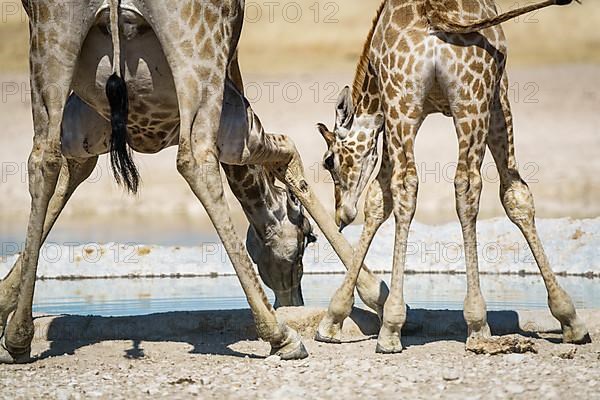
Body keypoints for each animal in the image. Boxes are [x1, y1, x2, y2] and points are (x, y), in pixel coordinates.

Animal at [0, 0, 390, 362]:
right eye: (307, 238)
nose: (292, 301)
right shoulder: (237, 122)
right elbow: (289, 156)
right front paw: (373, 293)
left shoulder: (85, 127)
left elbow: (67, 174)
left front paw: (5, 304)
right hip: (200, 59)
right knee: (195, 161)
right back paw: (282, 336)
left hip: (51, 41)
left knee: (41, 157)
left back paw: (18, 339)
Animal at [314, 0, 592, 354]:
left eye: (328, 161)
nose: (341, 215)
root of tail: (434, 16)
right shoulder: (494, 94)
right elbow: (515, 192)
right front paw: (570, 318)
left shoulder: (392, 115)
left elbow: (378, 199)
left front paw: (333, 318)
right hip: (464, 99)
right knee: (463, 183)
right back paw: (472, 324)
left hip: (415, 101)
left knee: (418, 185)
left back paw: (395, 329)